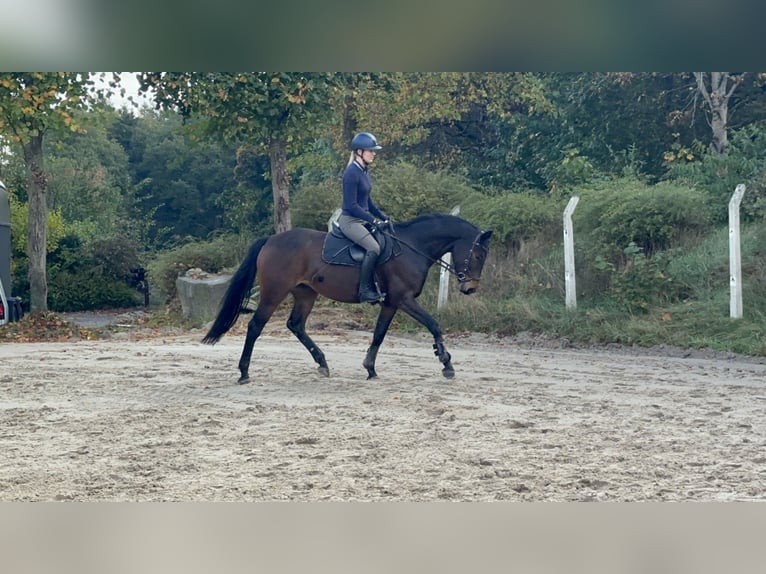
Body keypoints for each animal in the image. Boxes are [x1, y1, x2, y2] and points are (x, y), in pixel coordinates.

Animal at [202, 213, 493, 384]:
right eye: (478, 255)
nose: (470, 289)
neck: (412, 247)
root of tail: (271, 240)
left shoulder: (390, 303)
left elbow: (379, 334)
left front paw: (370, 368)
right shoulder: (404, 299)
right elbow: (433, 324)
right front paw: (446, 362)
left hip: (305, 293)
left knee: (295, 325)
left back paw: (322, 363)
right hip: (274, 293)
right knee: (255, 326)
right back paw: (244, 372)